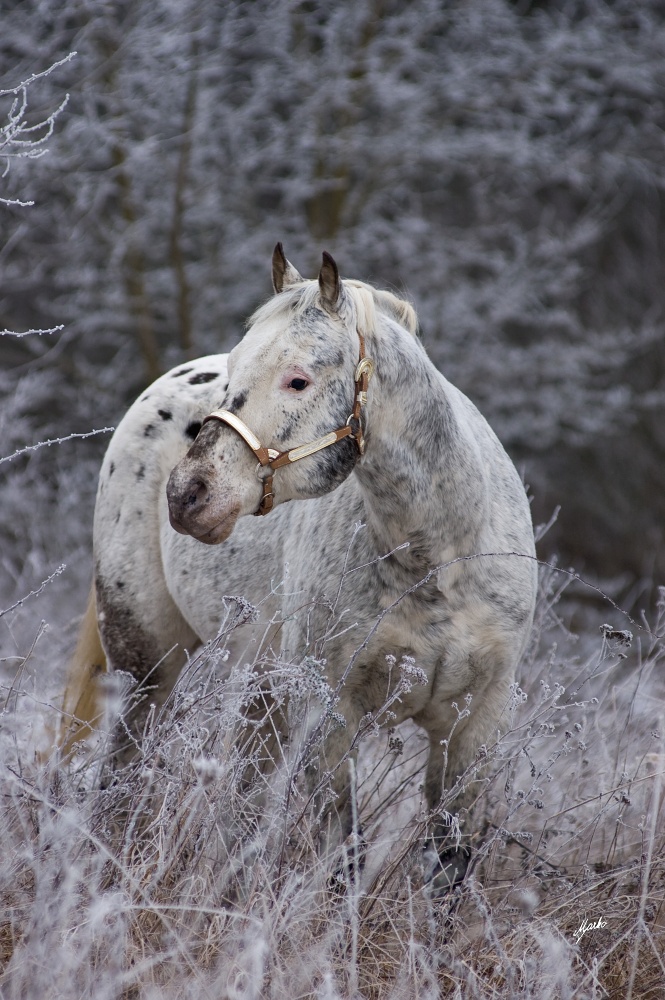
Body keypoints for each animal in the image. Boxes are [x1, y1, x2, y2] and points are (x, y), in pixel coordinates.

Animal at [65, 246, 536, 888]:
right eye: (236, 369)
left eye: (298, 379)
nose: (187, 495)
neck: (438, 559)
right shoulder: (330, 720)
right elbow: (343, 856)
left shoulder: (473, 728)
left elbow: (448, 863)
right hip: (147, 666)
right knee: (122, 774)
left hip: (261, 693)